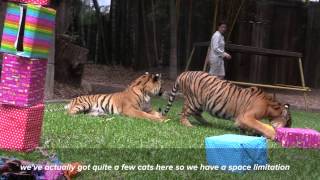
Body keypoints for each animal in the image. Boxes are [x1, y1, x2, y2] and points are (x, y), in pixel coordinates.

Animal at [162, 71, 292, 140]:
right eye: (288, 123)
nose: (289, 129)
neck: (271, 107)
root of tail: (184, 73)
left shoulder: (242, 119)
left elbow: (249, 127)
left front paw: (249, 132)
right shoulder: (246, 116)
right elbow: (259, 125)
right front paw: (273, 135)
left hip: (200, 103)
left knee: (195, 114)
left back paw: (207, 123)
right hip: (194, 101)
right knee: (183, 113)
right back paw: (188, 125)